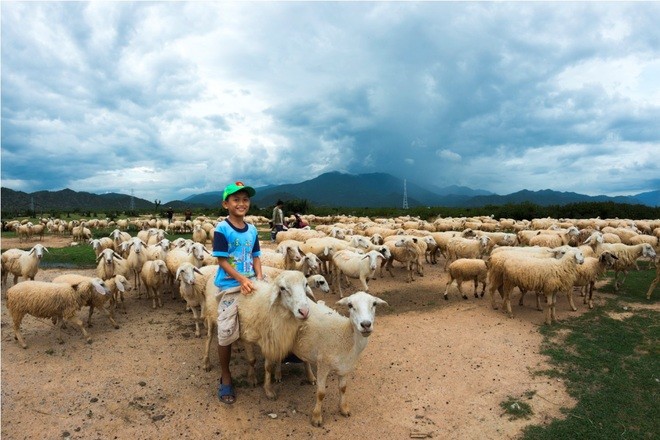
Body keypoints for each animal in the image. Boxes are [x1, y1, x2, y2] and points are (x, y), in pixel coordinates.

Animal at [200, 270, 314, 400]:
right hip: (213, 316)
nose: (304, 311)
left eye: (306, 284)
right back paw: (206, 363)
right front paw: (252, 378)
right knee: (209, 339)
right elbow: (251, 359)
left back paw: (235, 347)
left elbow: (268, 366)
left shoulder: (270, 338)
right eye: (282, 288)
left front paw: (268, 389)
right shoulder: (247, 336)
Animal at [292, 292, 390, 426]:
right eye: (350, 305)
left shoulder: (345, 366)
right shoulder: (323, 365)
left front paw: (344, 409)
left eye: (374, 304)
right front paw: (316, 417)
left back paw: (310, 377)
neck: (345, 335)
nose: (366, 324)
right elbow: (321, 393)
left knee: (304, 359)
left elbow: (343, 388)